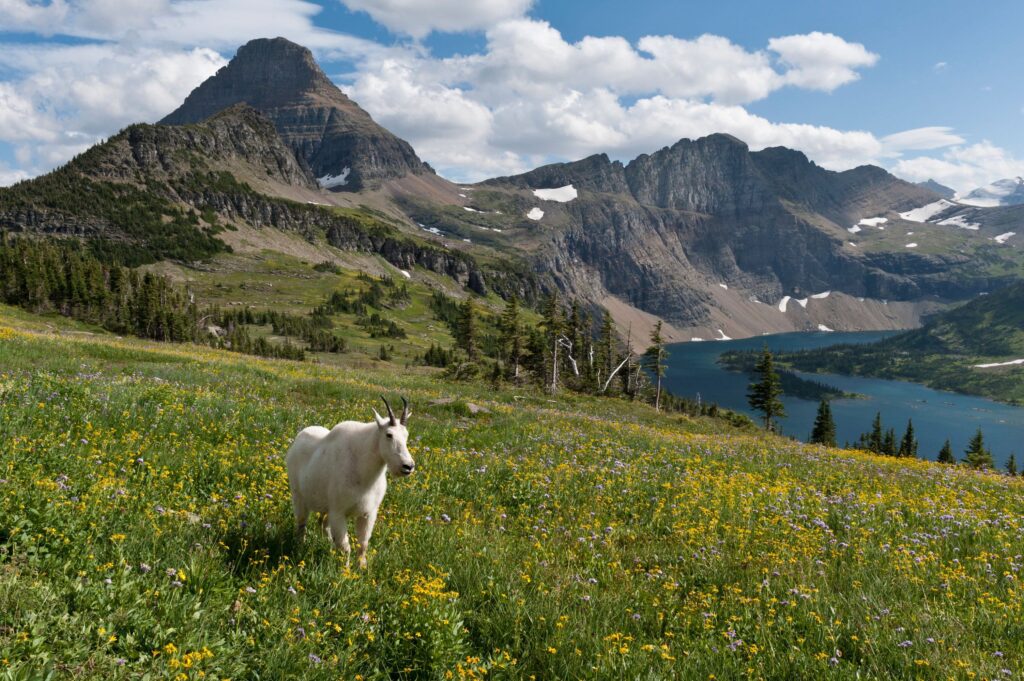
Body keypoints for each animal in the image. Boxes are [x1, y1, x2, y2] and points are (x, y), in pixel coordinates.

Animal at [286, 395, 413, 565]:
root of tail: (298, 439)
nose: (408, 466)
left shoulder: (368, 513)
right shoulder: (339, 512)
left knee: (323, 525)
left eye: (406, 435)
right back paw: (300, 548)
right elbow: (345, 547)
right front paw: (345, 570)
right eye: (389, 434)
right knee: (301, 524)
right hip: (299, 496)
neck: (365, 474)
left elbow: (363, 544)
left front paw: (362, 568)